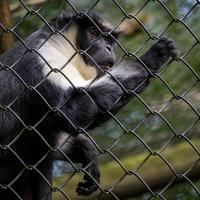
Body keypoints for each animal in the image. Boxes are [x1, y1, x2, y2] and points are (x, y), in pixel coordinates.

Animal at [0, 11, 177, 200]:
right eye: (94, 33)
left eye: (110, 41)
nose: (108, 48)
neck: (66, 51)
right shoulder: (44, 58)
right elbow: (68, 114)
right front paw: (149, 60)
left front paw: (87, 151)